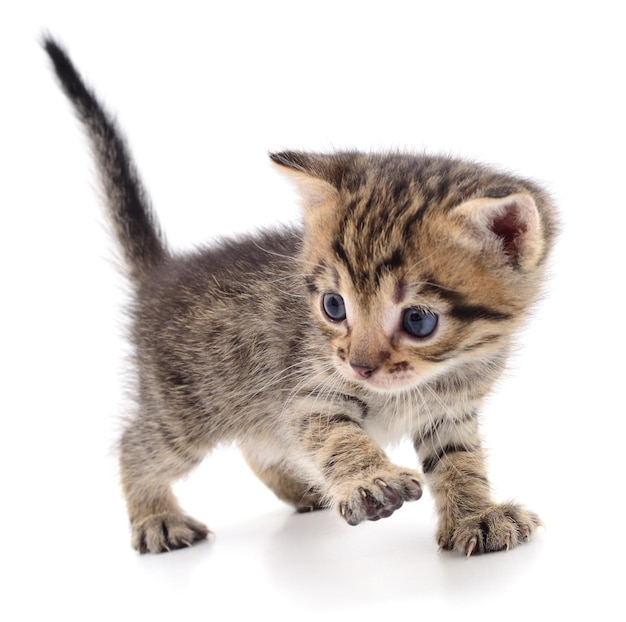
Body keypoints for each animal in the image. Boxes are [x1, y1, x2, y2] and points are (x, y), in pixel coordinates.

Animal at [44, 36, 556, 560]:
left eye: (418, 321)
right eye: (334, 306)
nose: (360, 366)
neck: (436, 374)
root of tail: (162, 274)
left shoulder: (450, 411)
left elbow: (459, 459)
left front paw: (476, 514)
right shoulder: (307, 388)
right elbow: (333, 433)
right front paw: (370, 479)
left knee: (257, 446)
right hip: (185, 410)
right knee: (136, 445)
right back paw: (156, 517)